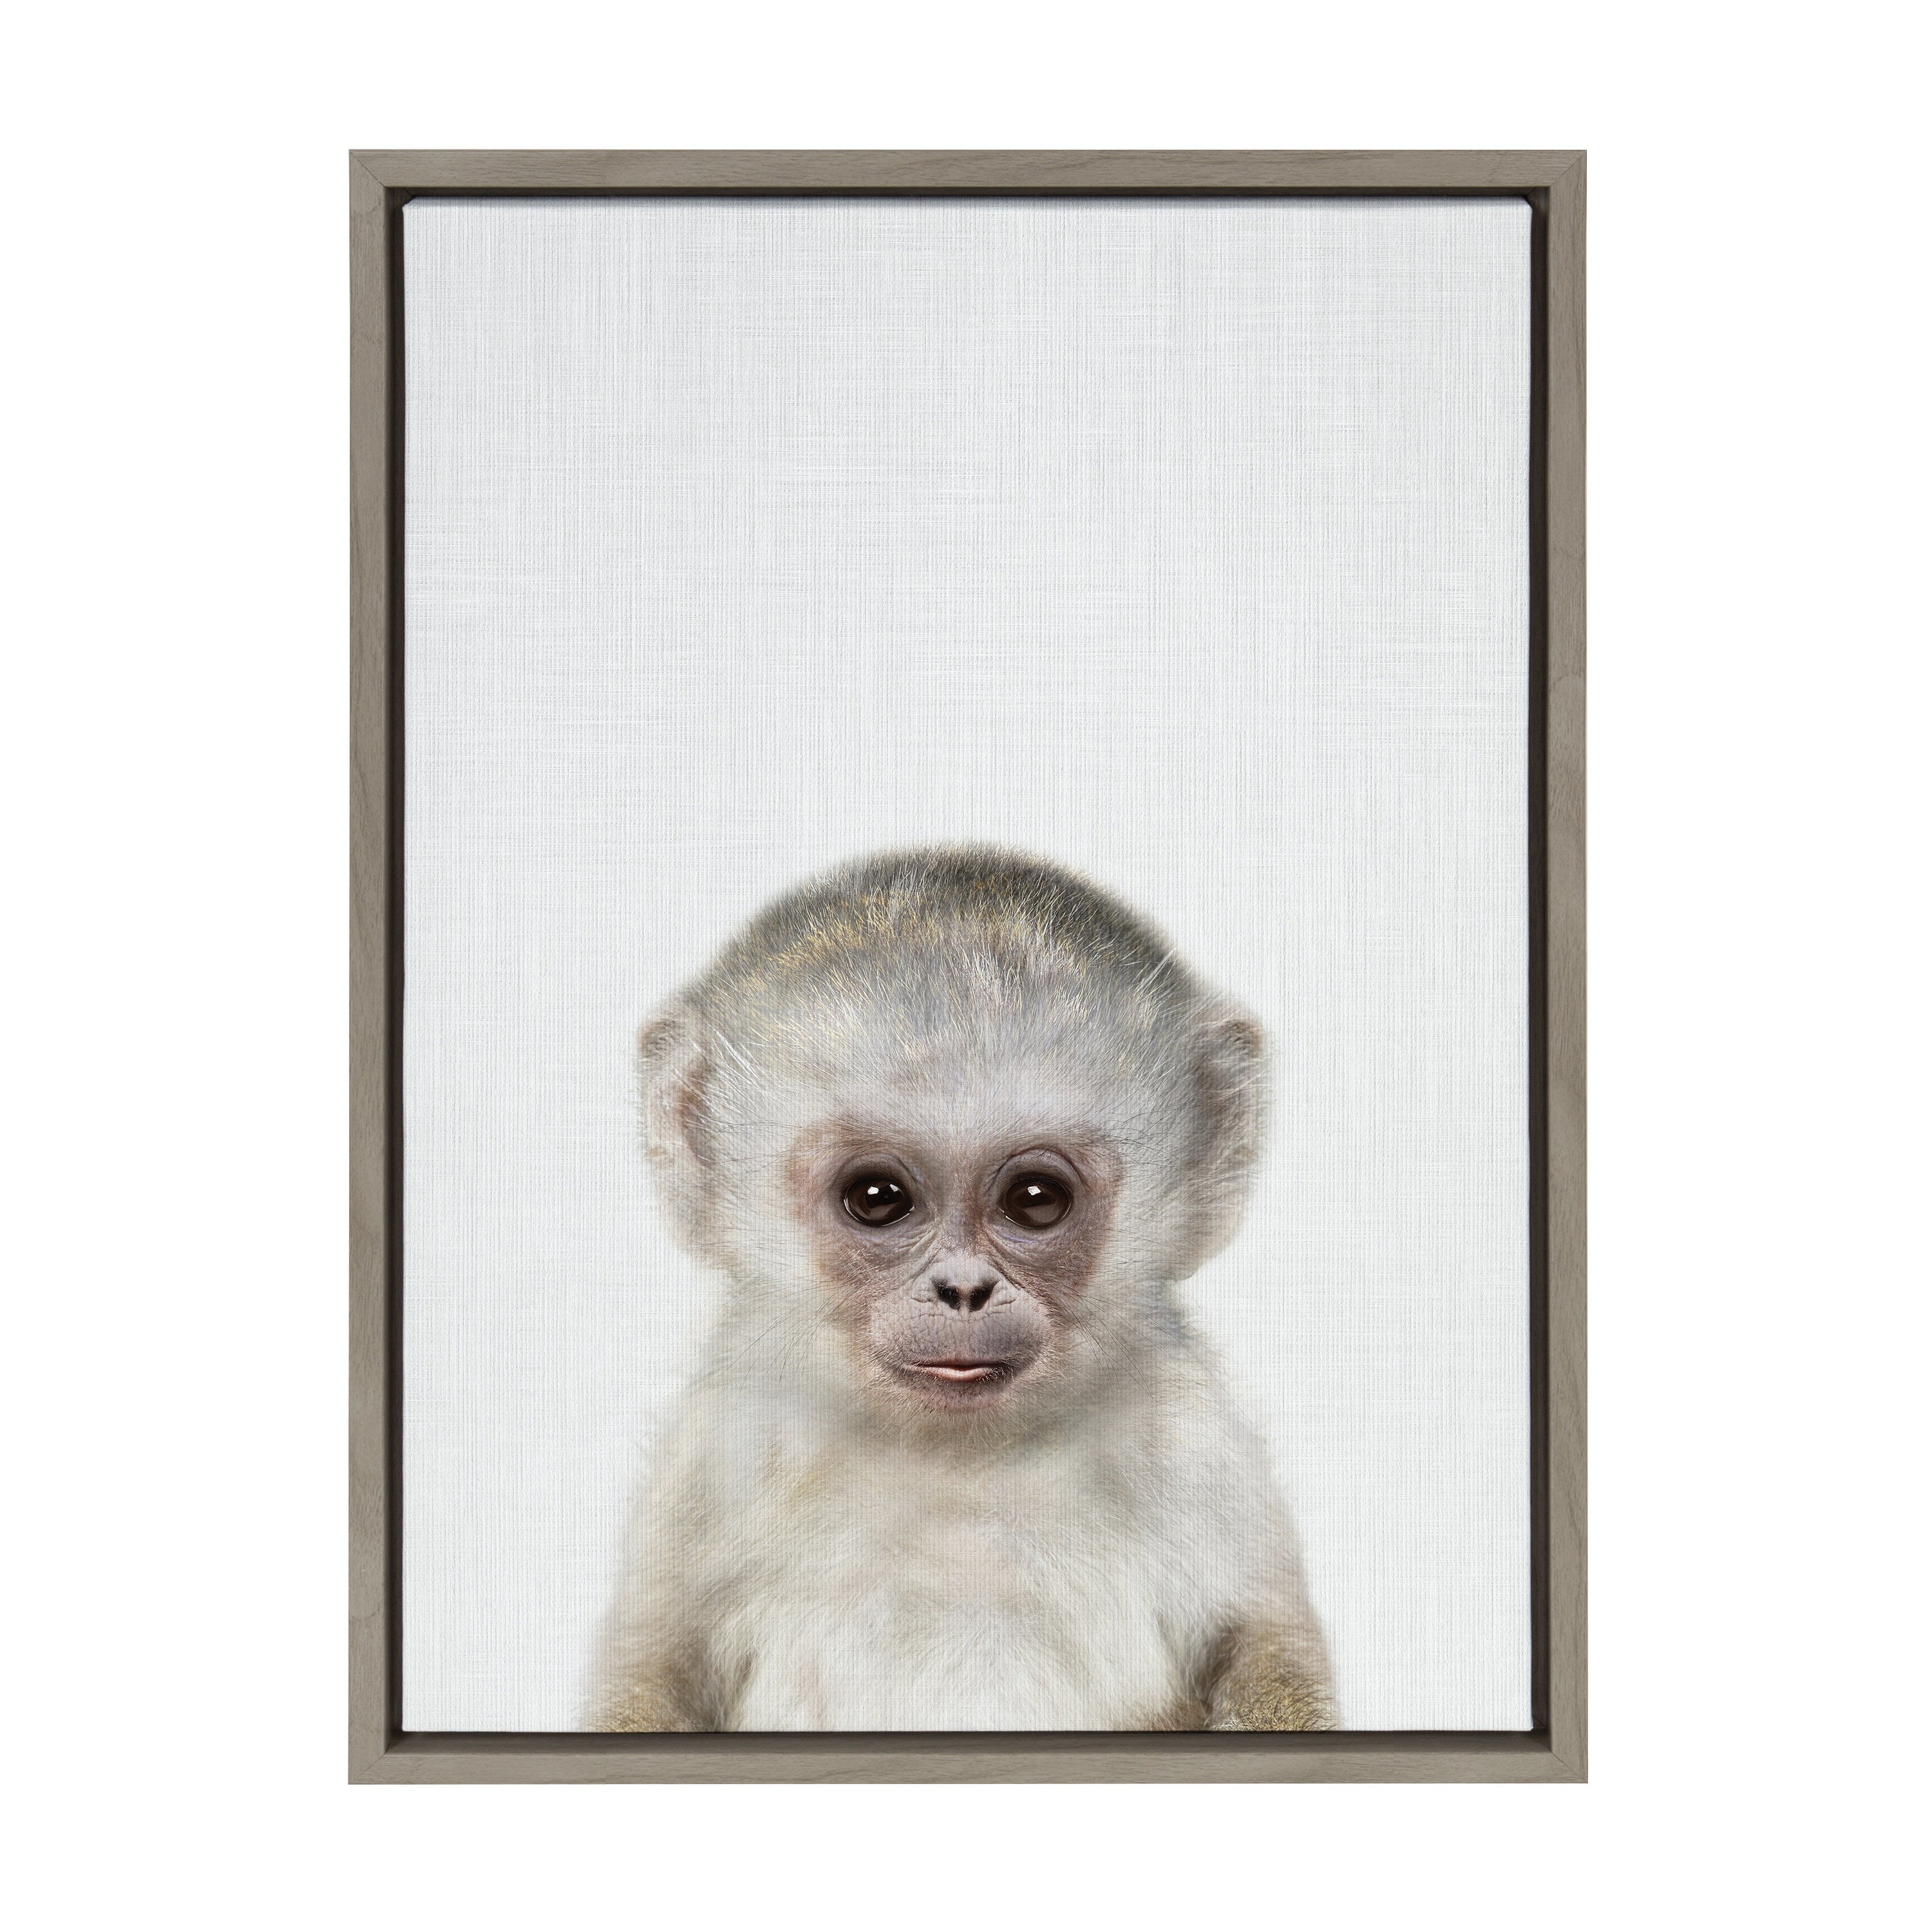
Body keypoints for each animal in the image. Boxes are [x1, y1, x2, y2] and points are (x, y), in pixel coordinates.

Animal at [589, 845, 1335, 1732]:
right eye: (877, 1198)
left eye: (1036, 1200)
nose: (965, 1290)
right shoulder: (716, 1448)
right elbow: (651, 1674)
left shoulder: (1194, 1439)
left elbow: (1266, 1650)